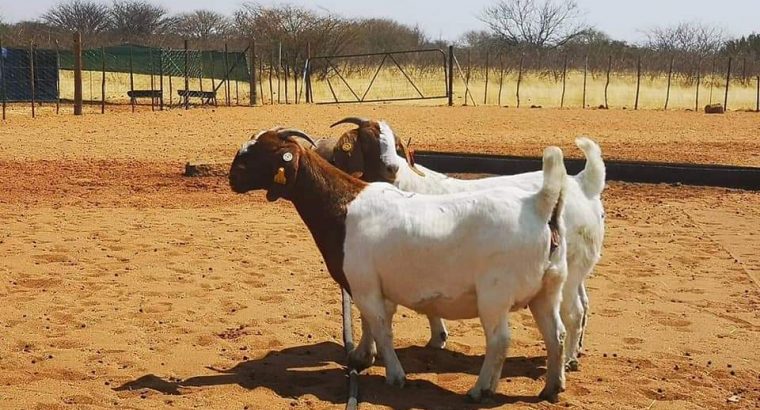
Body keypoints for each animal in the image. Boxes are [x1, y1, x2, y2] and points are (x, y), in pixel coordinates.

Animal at [229, 125, 569, 402]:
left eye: (262, 152)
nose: (232, 177)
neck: (343, 205)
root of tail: (539, 207)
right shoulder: (373, 287)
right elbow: (371, 321)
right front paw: (361, 357)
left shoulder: (364, 284)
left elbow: (381, 328)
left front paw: (395, 375)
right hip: (549, 289)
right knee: (557, 335)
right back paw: (552, 387)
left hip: (494, 295)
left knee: (499, 341)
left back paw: (480, 390)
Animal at [330, 117, 605, 370]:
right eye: (368, 139)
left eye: (395, 143)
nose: (392, 167)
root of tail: (583, 184)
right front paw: (438, 337)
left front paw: (365, 353)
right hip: (575, 268)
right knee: (584, 305)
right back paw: (576, 350)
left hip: (568, 273)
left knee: (574, 311)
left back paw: (568, 360)